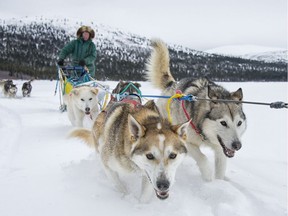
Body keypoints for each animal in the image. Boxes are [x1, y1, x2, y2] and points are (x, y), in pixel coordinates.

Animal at [145, 39, 246, 181]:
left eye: (239, 123)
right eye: (223, 123)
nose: (237, 145)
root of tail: (172, 84)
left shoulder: (221, 148)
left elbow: (220, 169)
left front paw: (219, 182)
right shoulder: (187, 142)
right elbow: (202, 158)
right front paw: (208, 177)